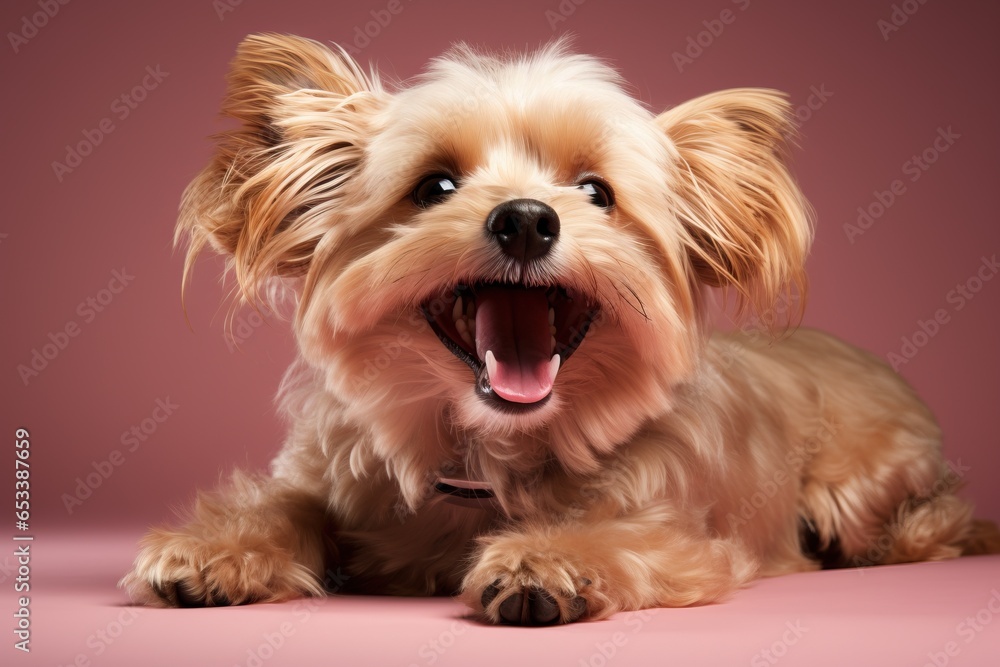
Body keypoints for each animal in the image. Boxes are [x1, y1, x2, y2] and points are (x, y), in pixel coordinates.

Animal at [121, 34, 996, 624]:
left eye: (597, 192)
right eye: (434, 186)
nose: (525, 219)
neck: (486, 455)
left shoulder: (674, 528)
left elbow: (615, 534)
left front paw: (549, 559)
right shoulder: (330, 470)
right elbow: (287, 504)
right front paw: (219, 546)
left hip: (861, 487)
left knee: (931, 522)